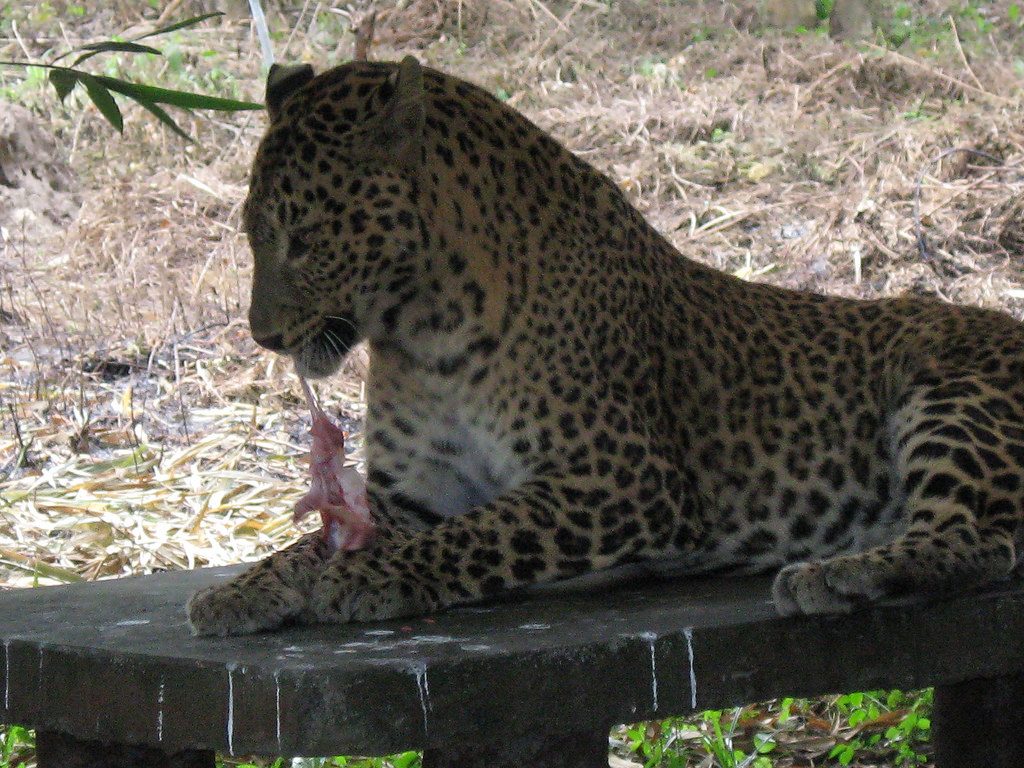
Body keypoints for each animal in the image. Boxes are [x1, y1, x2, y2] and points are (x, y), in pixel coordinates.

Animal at [184, 57, 1024, 638]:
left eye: (303, 238)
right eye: (253, 232)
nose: (263, 335)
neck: (420, 331)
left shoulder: (626, 479)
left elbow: (478, 535)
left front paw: (367, 577)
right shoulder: (412, 494)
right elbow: (310, 545)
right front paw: (243, 589)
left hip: (949, 398)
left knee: (978, 539)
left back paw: (839, 573)